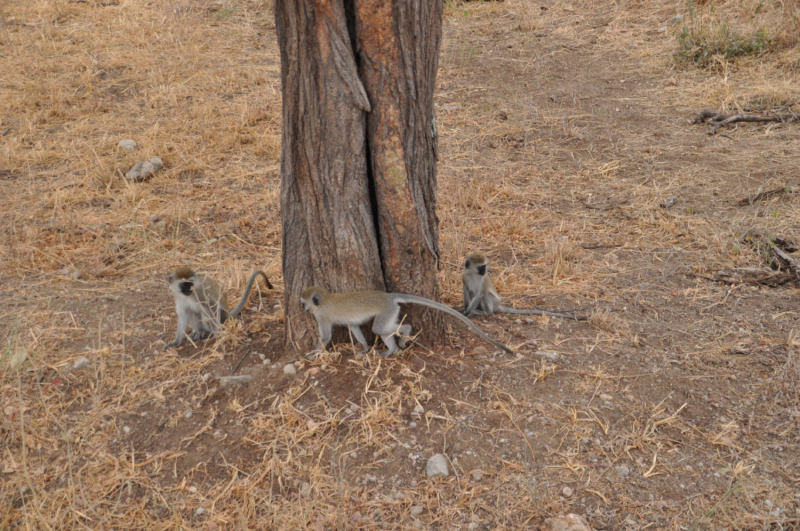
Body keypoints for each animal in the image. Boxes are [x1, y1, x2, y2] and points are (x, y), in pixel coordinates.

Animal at [300, 286, 512, 358]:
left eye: (303, 303)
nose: (302, 309)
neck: (324, 299)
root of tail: (389, 296)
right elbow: (354, 326)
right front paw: (364, 348)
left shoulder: (321, 316)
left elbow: (325, 337)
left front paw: (311, 353)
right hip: (392, 312)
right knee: (382, 329)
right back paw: (391, 350)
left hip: (387, 311)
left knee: (379, 327)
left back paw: (404, 335)